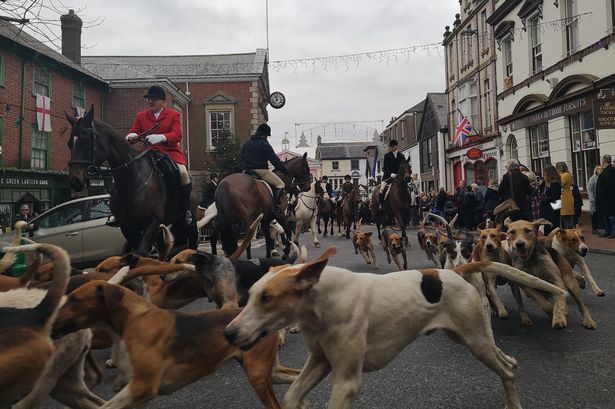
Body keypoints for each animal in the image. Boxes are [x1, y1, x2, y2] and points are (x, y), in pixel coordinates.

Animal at [65, 107, 196, 256]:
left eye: (86, 141)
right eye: (69, 144)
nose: (75, 180)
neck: (131, 180)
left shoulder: (154, 222)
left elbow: (141, 252)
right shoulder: (126, 226)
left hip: (189, 223)